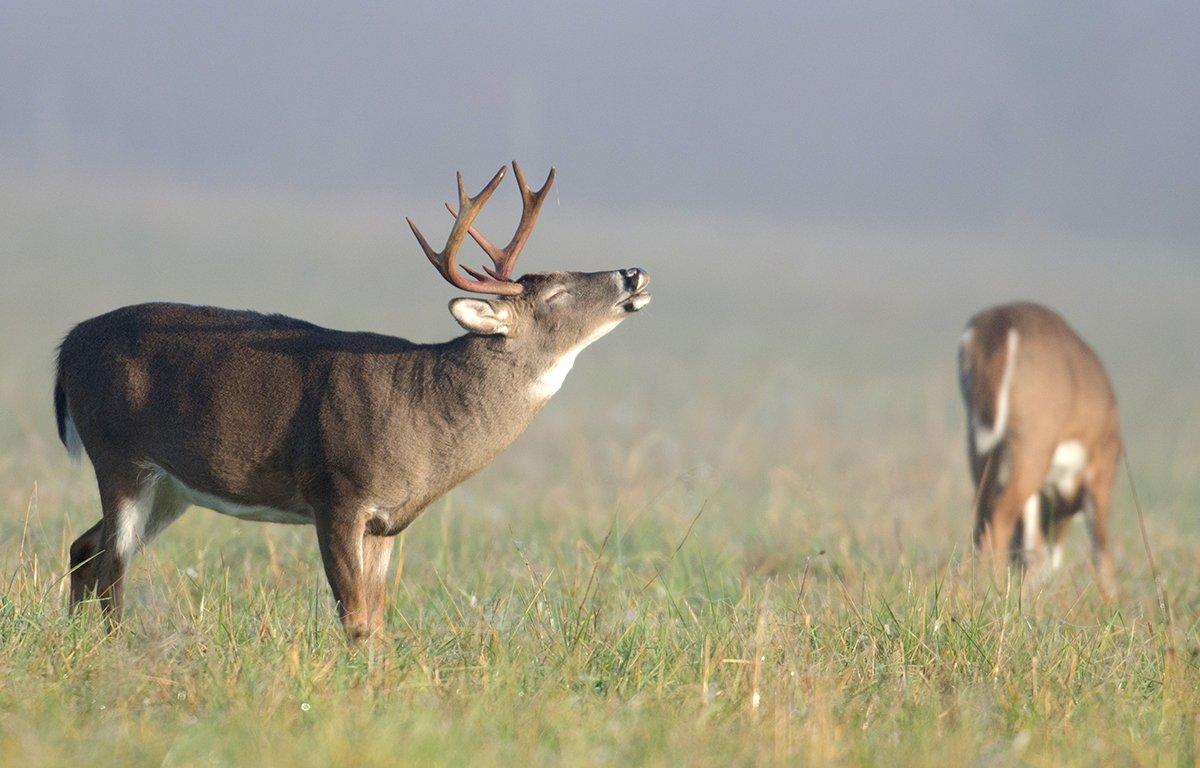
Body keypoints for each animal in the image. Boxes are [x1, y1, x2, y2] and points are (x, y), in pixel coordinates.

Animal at [52, 163, 652, 643]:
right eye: (556, 293)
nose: (634, 272)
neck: (424, 410)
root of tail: (66, 348)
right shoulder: (335, 492)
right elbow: (357, 619)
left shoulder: (388, 523)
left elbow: (379, 620)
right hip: (119, 456)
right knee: (112, 569)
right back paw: (115, 649)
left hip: (171, 487)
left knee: (85, 549)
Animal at [960, 302, 1118, 597]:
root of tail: (1003, 320)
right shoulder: (1101, 469)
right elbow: (1101, 548)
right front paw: (1111, 600)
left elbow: (1033, 546)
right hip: (1033, 447)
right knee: (999, 518)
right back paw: (994, 589)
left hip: (981, 448)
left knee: (983, 518)